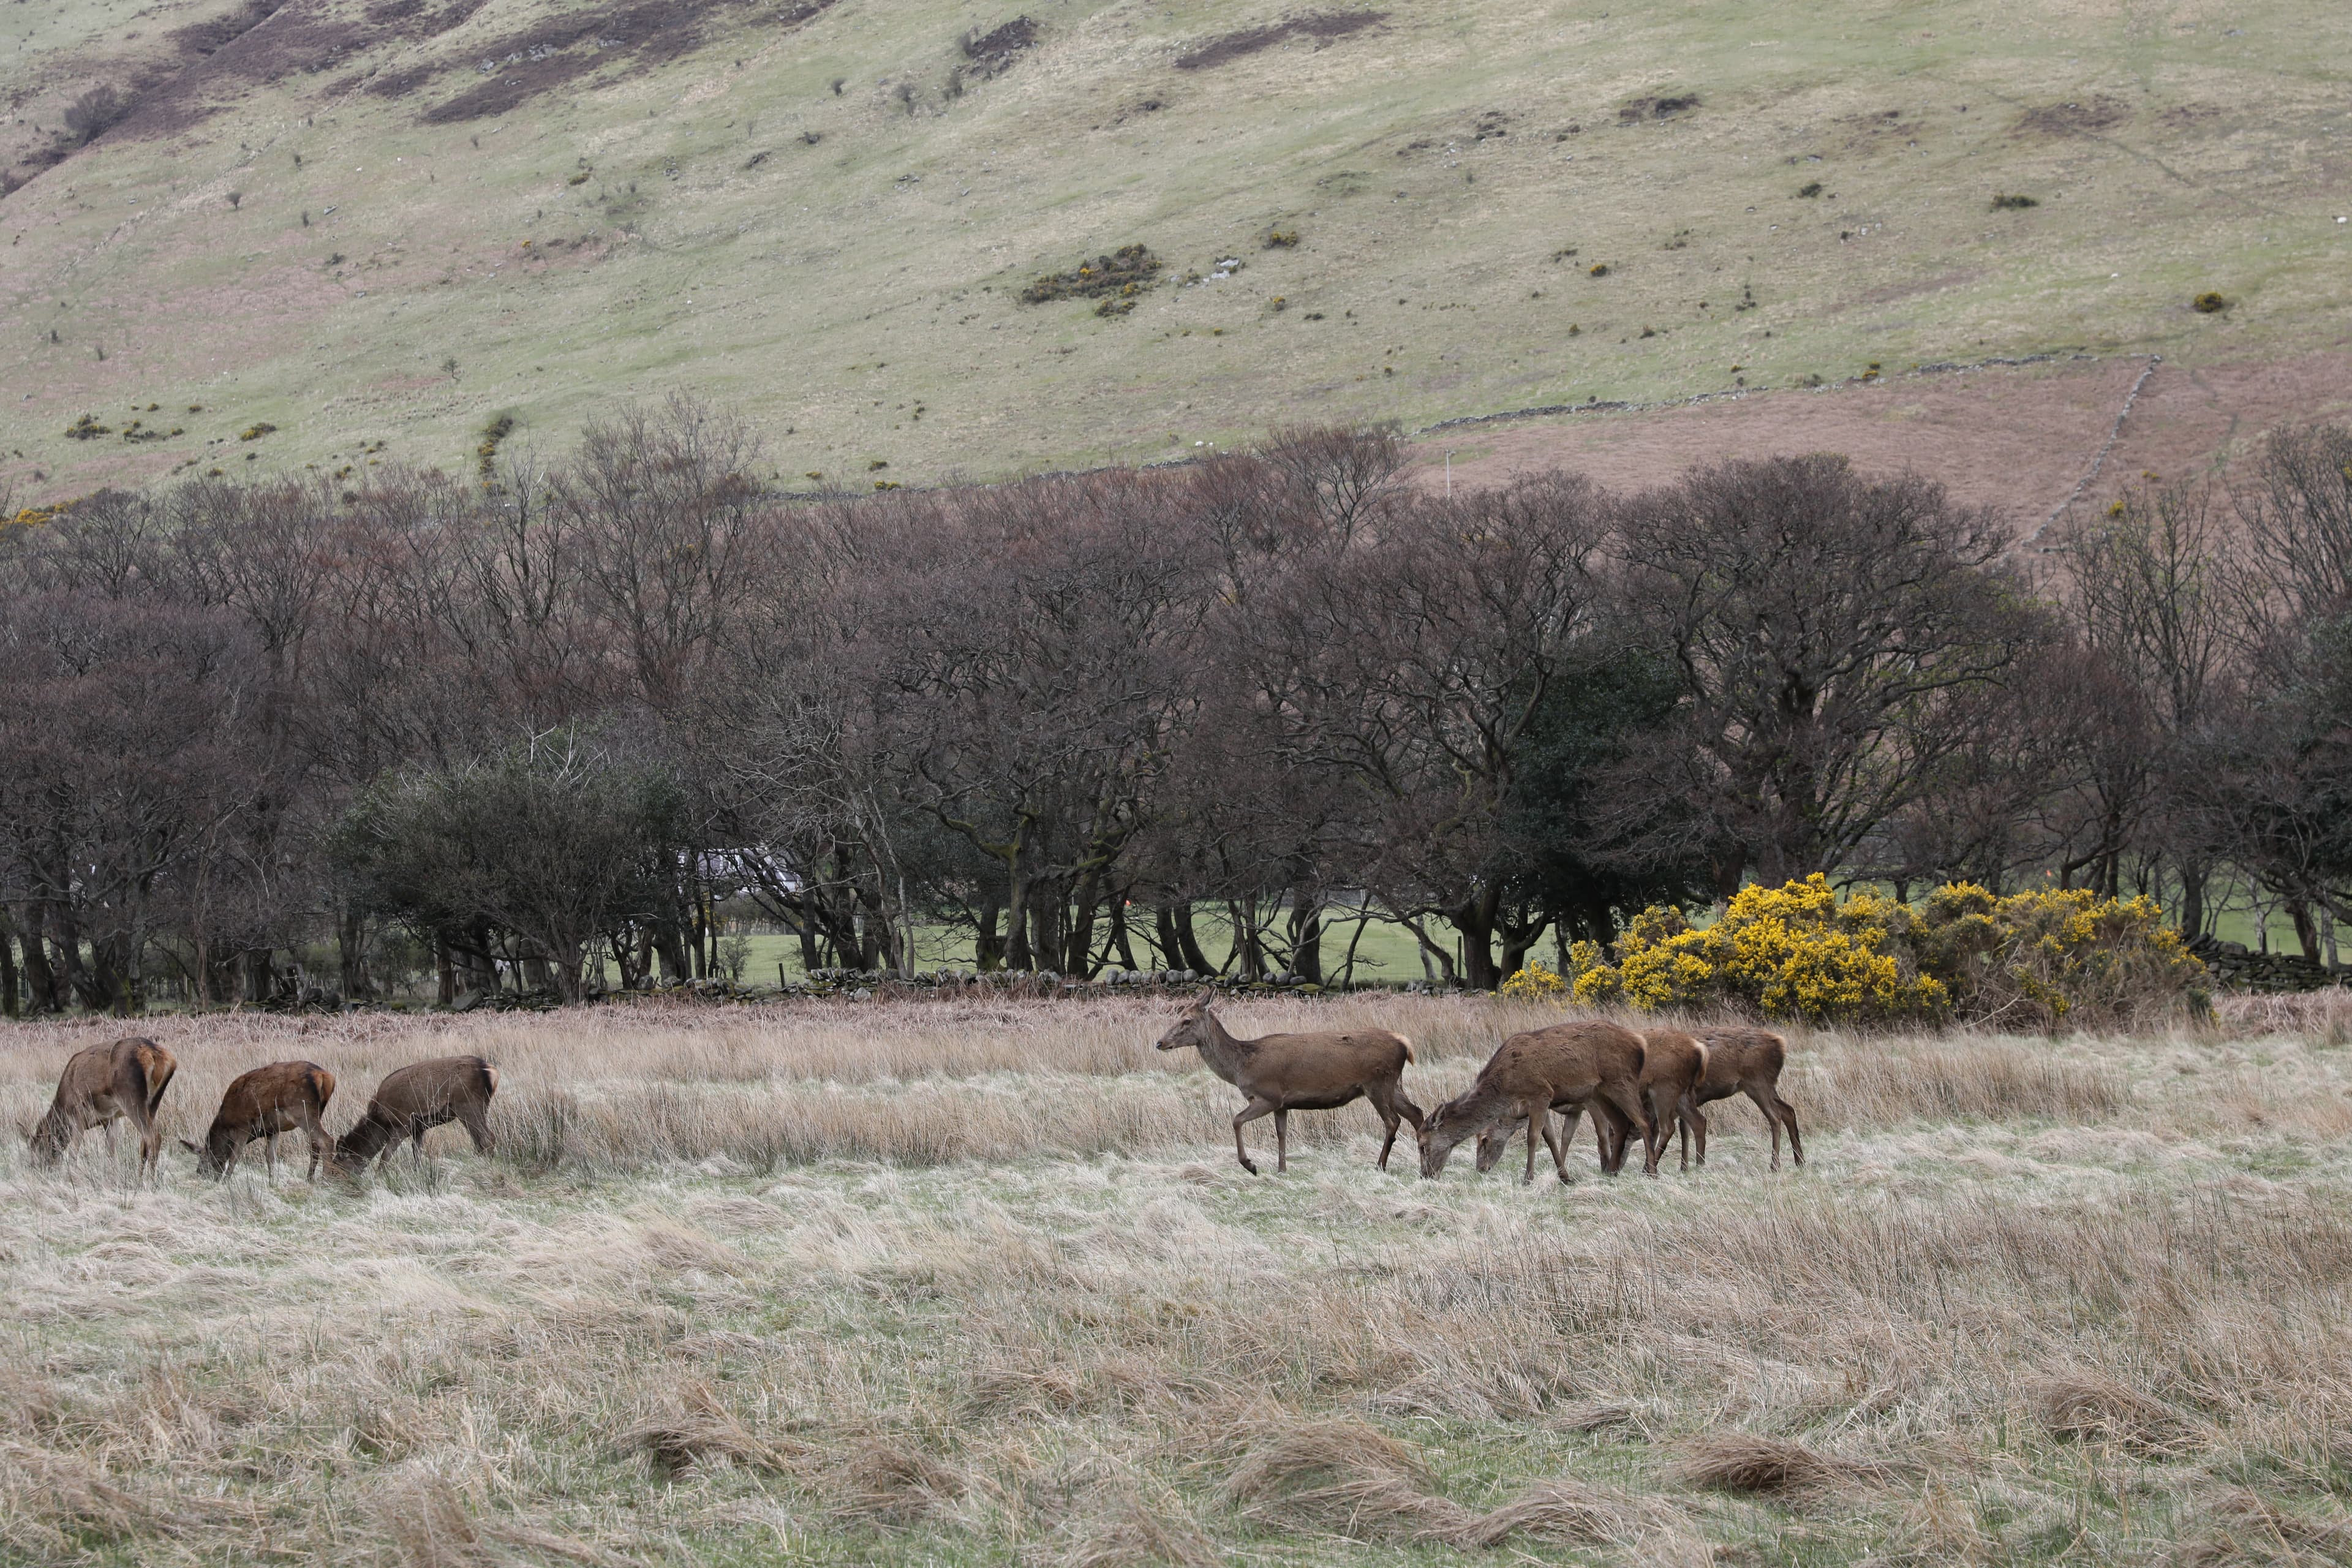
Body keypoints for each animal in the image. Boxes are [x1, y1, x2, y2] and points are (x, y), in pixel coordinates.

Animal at [28, 1036, 178, 1180]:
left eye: (38, 1147)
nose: (36, 1170)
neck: (62, 1105)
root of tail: (156, 1055)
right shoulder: (111, 1118)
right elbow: (111, 1152)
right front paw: (112, 1177)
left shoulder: (77, 1114)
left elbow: (74, 1151)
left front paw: (72, 1177)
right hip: (153, 1102)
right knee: (146, 1141)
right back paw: (142, 1179)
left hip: (130, 1097)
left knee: (153, 1137)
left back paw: (150, 1180)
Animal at [182, 1060, 337, 1181]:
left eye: (202, 1162)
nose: (201, 1175)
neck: (227, 1123)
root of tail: (326, 1077)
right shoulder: (272, 1130)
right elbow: (270, 1157)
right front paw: (272, 1183)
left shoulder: (244, 1125)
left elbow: (234, 1157)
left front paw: (226, 1182)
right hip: (317, 1112)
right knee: (315, 1145)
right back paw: (309, 1180)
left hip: (301, 1109)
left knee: (326, 1141)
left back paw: (325, 1181)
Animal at [332, 1056, 499, 1175]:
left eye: (337, 1167)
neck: (381, 1120)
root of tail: (490, 1071)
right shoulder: (418, 1128)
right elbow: (417, 1152)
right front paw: (417, 1172)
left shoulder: (402, 1123)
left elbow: (386, 1153)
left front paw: (380, 1176)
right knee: (478, 1141)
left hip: (468, 1106)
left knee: (487, 1138)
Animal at [1154, 997, 1422, 1174]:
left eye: (1187, 1020)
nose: (1160, 1042)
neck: (1241, 1065)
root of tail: (1405, 1044)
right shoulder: (1282, 1104)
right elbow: (1281, 1133)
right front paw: (1282, 1169)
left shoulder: (1268, 1095)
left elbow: (1236, 1120)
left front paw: (1250, 1165)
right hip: (1393, 1084)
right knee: (1417, 1113)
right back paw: (1423, 1161)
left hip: (1377, 1083)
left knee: (1393, 1121)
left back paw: (1380, 1165)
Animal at [1419, 1019, 1655, 1183]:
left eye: (1422, 1145)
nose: (1425, 1175)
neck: (1507, 1086)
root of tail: (1640, 1044)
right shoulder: (1543, 1103)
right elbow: (1550, 1138)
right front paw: (1565, 1177)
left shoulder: (1540, 1094)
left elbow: (1533, 1138)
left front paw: (1528, 1178)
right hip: (1599, 1093)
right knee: (1621, 1124)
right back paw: (1613, 1171)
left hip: (1621, 1080)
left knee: (1643, 1121)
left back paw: (1651, 1171)